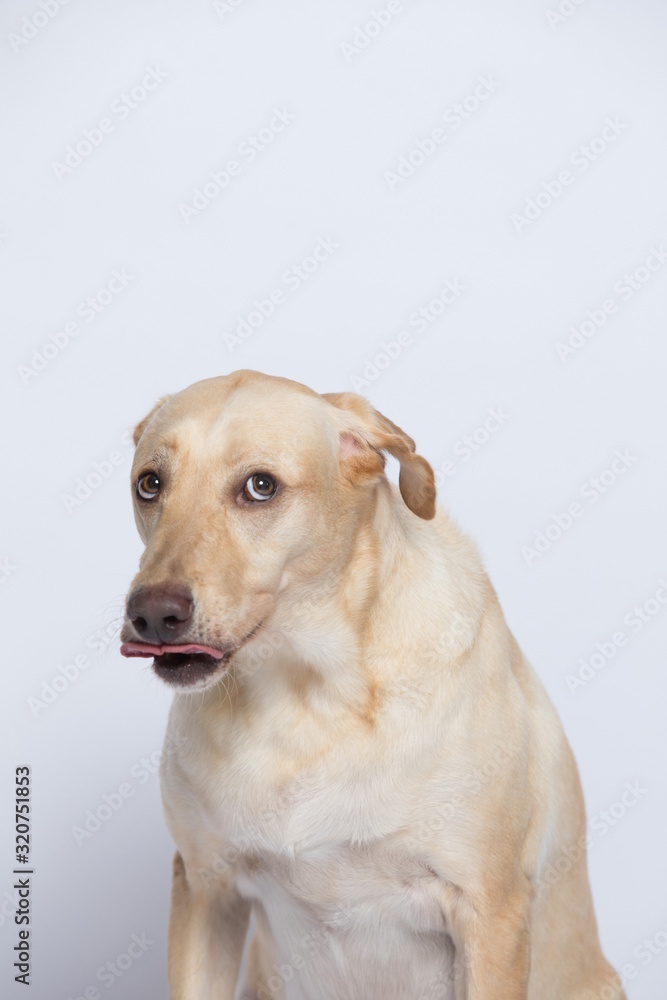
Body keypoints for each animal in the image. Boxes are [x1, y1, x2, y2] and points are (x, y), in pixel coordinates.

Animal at [118, 370, 628, 1000]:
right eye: (150, 484)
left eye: (260, 487)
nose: (152, 614)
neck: (306, 695)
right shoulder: (204, 886)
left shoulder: (491, 911)